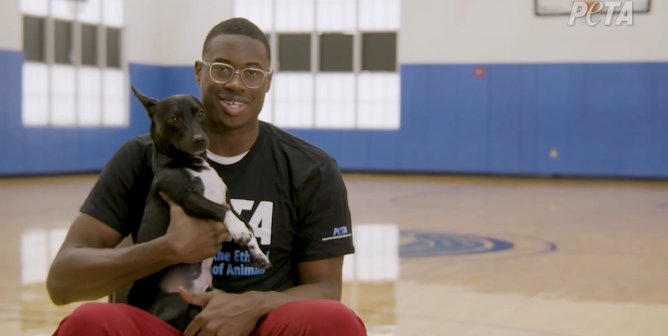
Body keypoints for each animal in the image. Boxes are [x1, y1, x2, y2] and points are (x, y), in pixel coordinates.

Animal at [125, 86, 272, 330]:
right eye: (173, 118)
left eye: (201, 114)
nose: (200, 139)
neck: (192, 163)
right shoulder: (190, 199)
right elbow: (225, 214)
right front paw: (239, 232)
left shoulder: (227, 201)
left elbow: (247, 224)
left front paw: (257, 253)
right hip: (176, 300)